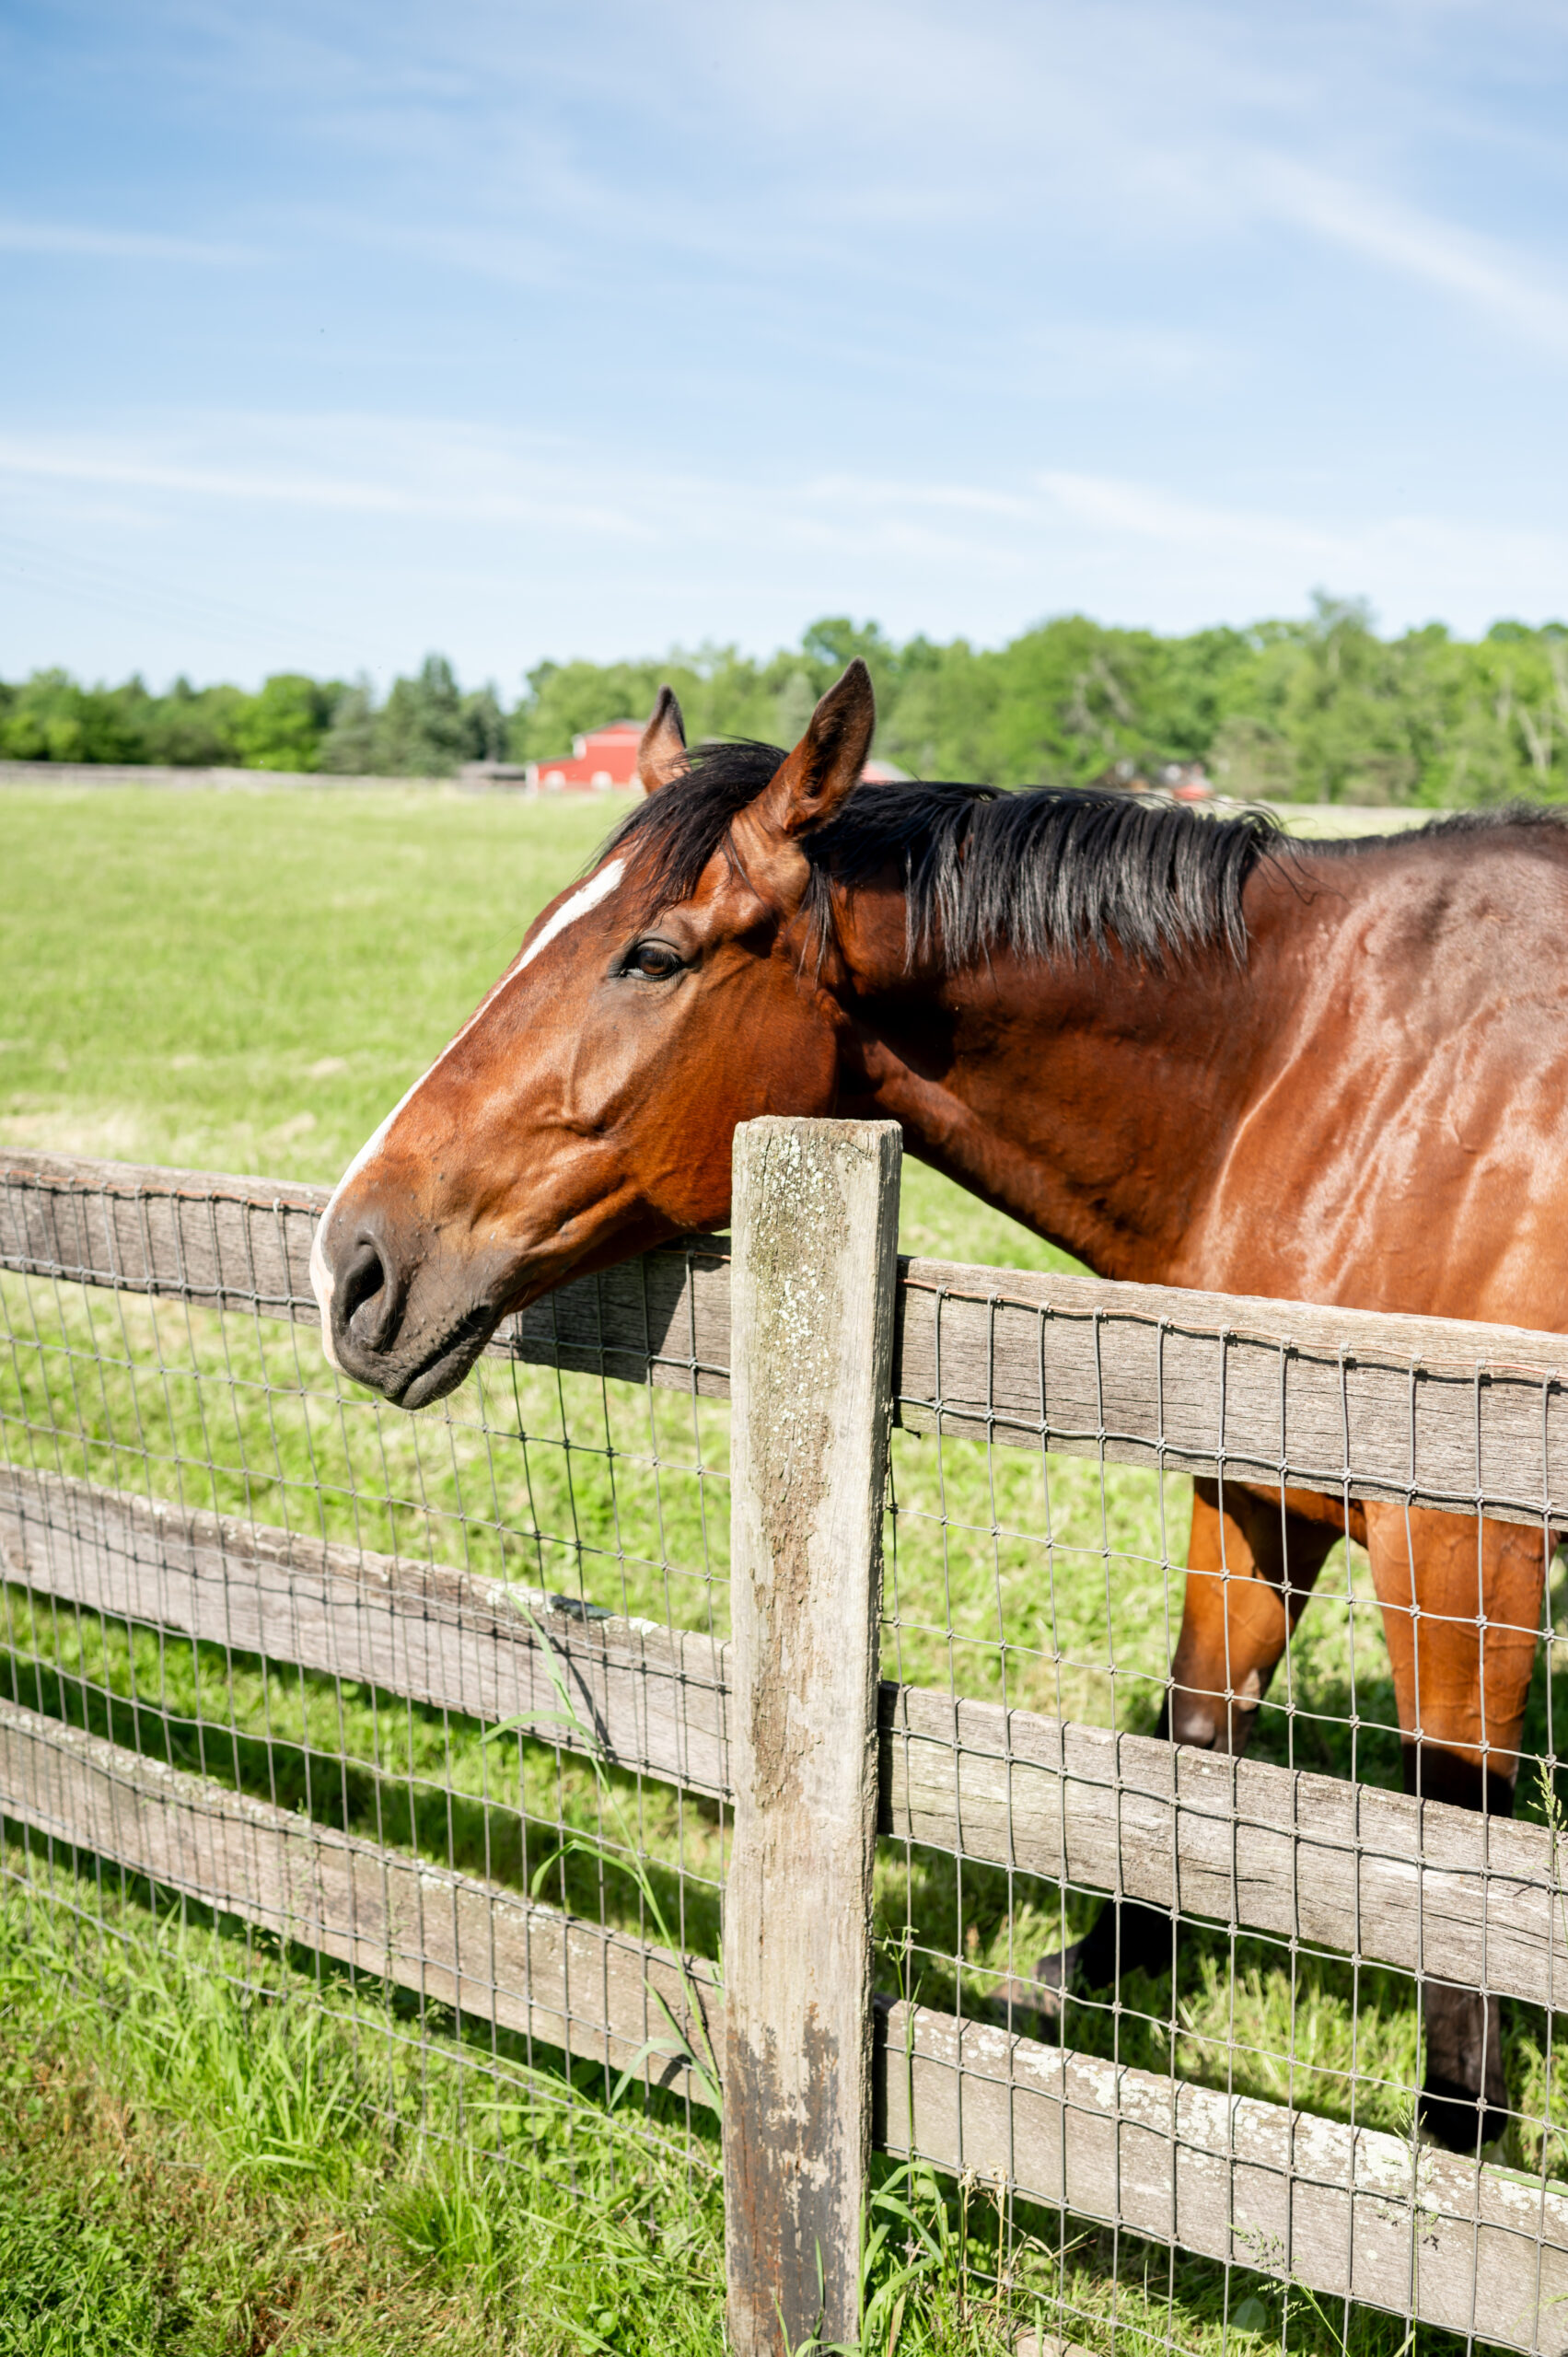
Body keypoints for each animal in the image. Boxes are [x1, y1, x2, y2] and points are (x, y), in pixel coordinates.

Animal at [311, 664, 1556, 2158]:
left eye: (650, 957)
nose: (352, 1262)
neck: (1323, 1080)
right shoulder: (1250, 1487)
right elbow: (1194, 1742)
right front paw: (1098, 1973)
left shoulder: (1461, 1549)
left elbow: (1457, 1861)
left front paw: (1456, 2137)